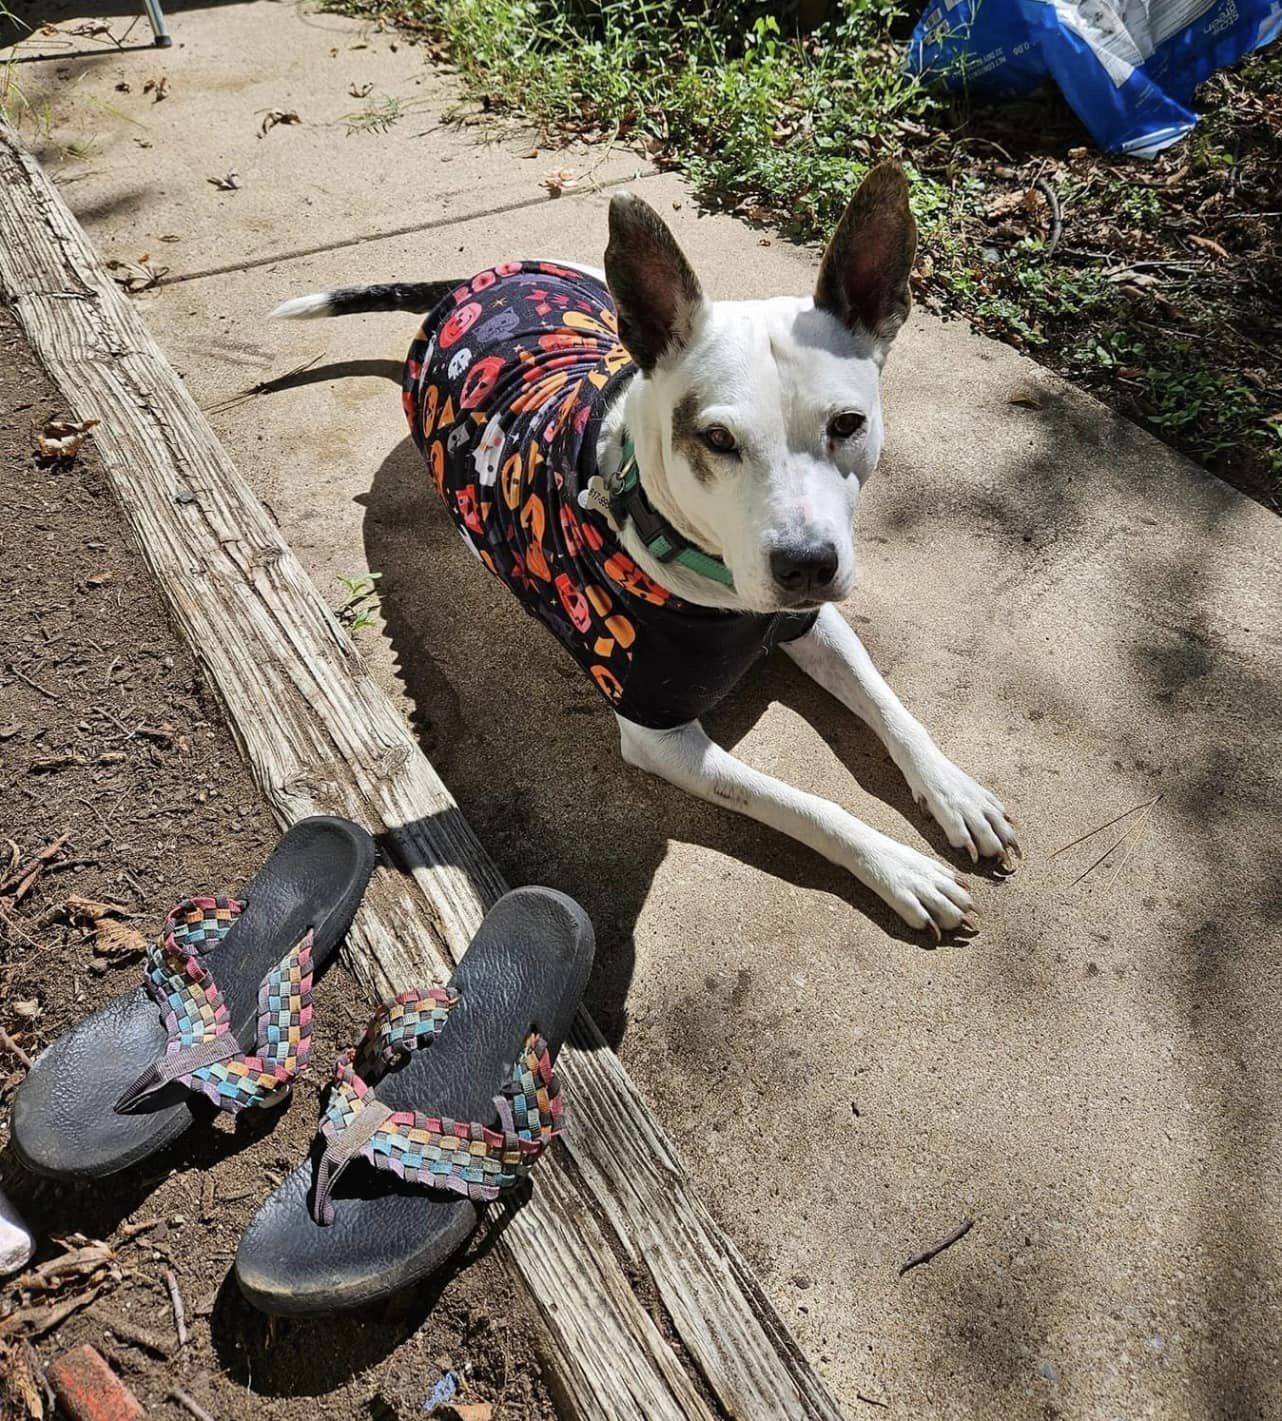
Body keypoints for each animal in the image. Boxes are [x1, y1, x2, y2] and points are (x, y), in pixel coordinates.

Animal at [272, 163, 1023, 932]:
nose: (806, 566)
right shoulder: (662, 738)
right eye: (717, 438)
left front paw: (954, 791)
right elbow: (808, 804)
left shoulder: (814, 623)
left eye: (848, 423)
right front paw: (898, 866)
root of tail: (470, 281)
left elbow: (891, 706)